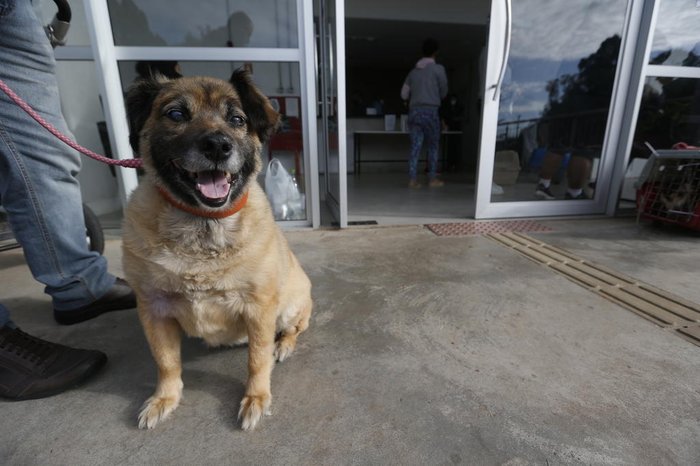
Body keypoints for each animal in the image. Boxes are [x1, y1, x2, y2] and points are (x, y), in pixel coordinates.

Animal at [122, 71, 312, 432]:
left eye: (237, 119)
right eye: (176, 114)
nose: (218, 146)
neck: (203, 225)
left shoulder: (259, 309)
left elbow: (257, 359)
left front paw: (256, 398)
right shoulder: (153, 309)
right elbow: (166, 361)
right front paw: (165, 398)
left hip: (289, 307)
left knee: (293, 330)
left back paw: (284, 345)